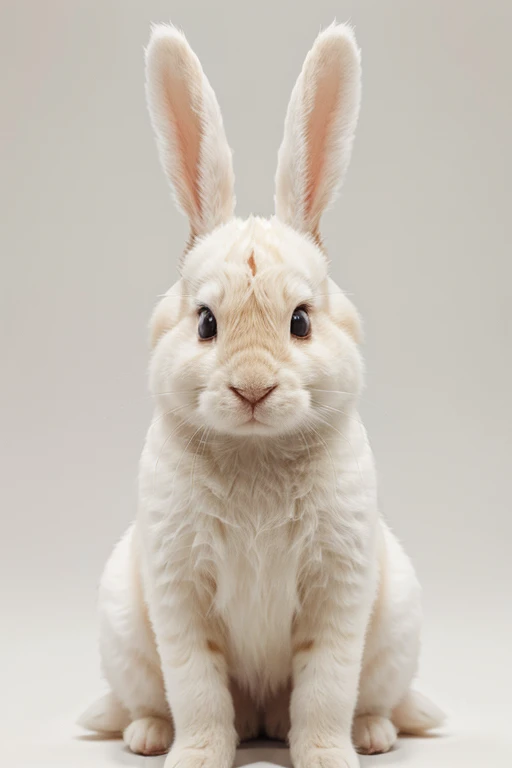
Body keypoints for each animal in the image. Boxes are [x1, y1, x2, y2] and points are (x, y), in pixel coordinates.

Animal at [77, 21, 444, 764]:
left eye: (301, 320)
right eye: (205, 322)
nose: (252, 388)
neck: (254, 454)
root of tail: (262, 717)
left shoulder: (337, 595)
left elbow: (325, 690)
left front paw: (328, 756)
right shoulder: (180, 599)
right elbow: (198, 692)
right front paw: (196, 756)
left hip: (393, 633)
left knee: (361, 700)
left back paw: (374, 734)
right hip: (126, 635)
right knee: (161, 702)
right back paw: (146, 735)